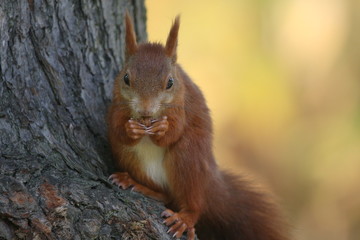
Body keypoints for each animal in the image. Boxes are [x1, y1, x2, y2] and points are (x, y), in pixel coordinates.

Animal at [108, 13, 288, 240]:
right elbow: (116, 128)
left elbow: (174, 132)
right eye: (126, 78)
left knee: (194, 204)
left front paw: (163, 129)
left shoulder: (181, 107)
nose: (145, 111)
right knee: (166, 195)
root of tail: (209, 181)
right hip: (128, 157)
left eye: (170, 82)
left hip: (188, 158)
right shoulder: (117, 105)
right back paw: (135, 183)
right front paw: (131, 129)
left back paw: (185, 219)